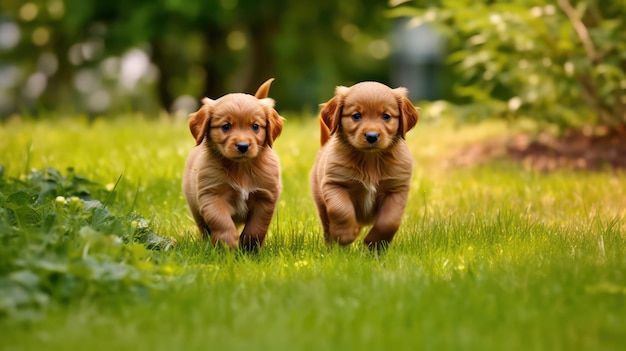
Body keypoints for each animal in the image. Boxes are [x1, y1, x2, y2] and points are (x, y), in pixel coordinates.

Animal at [183, 78, 282, 252]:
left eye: (255, 126)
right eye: (226, 126)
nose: (243, 146)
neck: (241, 168)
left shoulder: (266, 197)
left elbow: (257, 227)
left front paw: (249, 248)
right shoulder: (211, 194)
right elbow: (221, 221)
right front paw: (227, 245)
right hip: (194, 207)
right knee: (204, 228)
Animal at [310, 81, 416, 249]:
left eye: (386, 116)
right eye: (356, 116)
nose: (372, 136)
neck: (370, 160)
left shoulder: (397, 189)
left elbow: (389, 221)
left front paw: (375, 243)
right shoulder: (334, 183)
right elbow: (341, 210)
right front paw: (345, 234)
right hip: (320, 203)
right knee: (327, 227)